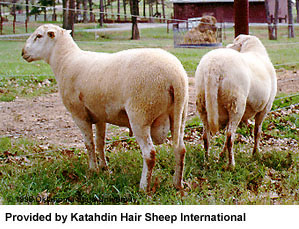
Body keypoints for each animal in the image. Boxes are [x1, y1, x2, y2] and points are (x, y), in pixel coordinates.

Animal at [22, 24, 189, 191]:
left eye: (39, 36)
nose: (23, 52)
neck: (65, 60)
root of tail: (176, 77)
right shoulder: (100, 115)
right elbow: (100, 142)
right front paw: (104, 168)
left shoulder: (79, 114)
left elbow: (89, 144)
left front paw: (93, 170)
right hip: (180, 115)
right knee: (180, 149)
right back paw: (177, 184)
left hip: (140, 113)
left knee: (150, 154)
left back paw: (143, 187)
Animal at [196, 34, 278, 167]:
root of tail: (213, 67)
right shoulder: (265, 108)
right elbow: (257, 131)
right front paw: (256, 153)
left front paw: (221, 155)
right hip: (236, 104)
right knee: (230, 136)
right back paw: (231, 165)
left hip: (202, 104)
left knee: (206, 136)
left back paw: (207, 161)